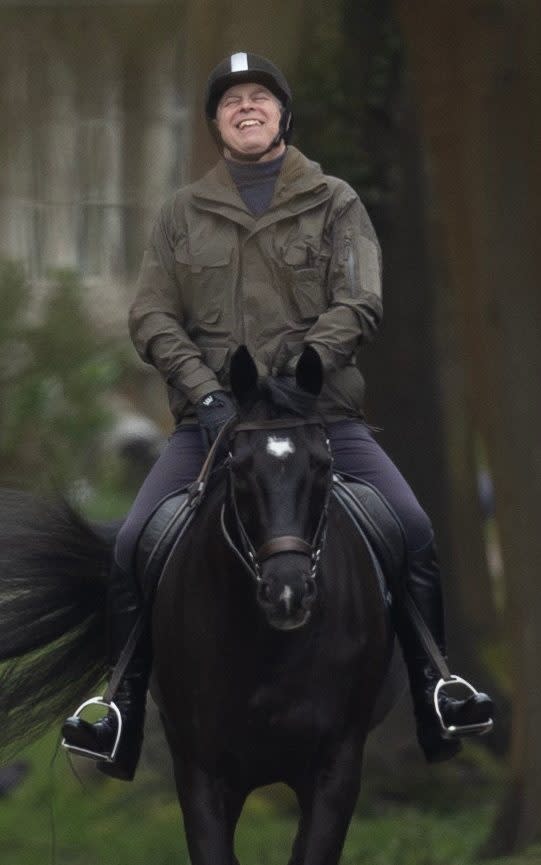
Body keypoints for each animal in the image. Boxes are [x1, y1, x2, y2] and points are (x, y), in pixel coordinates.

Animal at [0, 346, 396, 864]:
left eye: (324, 463)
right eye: (239, 467)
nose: (287, 593)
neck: (271, 653)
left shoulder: (336, 768)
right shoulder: (202, 774)